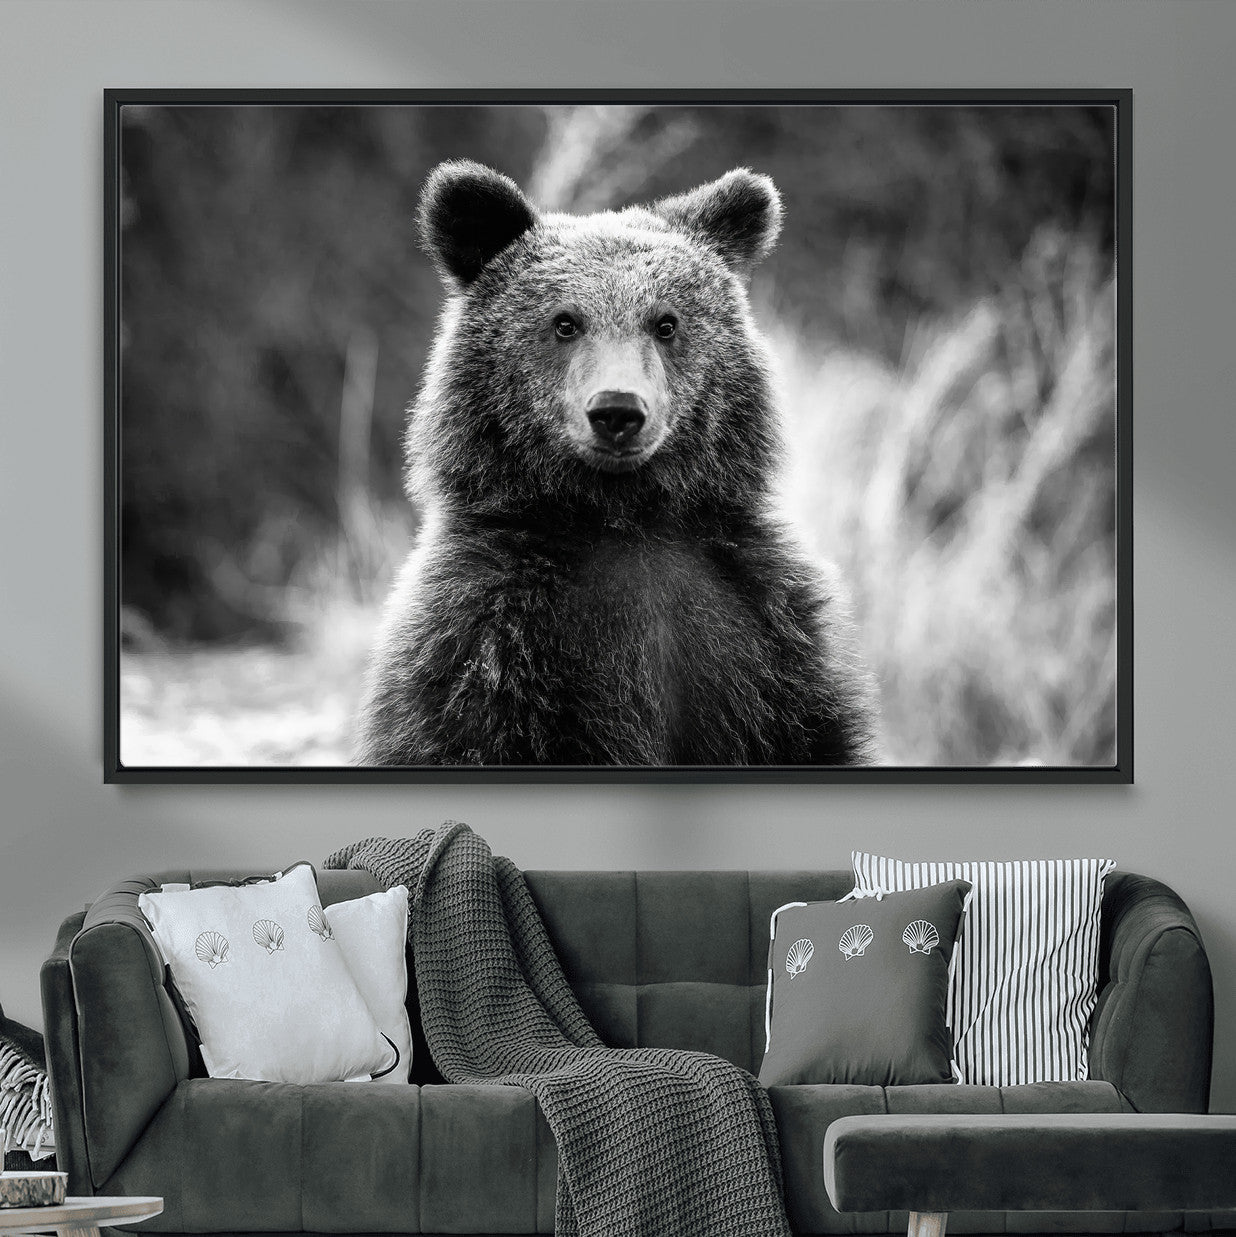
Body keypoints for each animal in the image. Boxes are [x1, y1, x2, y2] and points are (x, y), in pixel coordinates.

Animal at [355, 159, 877, 767]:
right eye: (565, 322)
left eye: (666, 322)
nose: (617, 410)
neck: (623, 518)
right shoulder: (484, 642)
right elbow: (459, 733)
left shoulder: (766, 632)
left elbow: (812, 733)